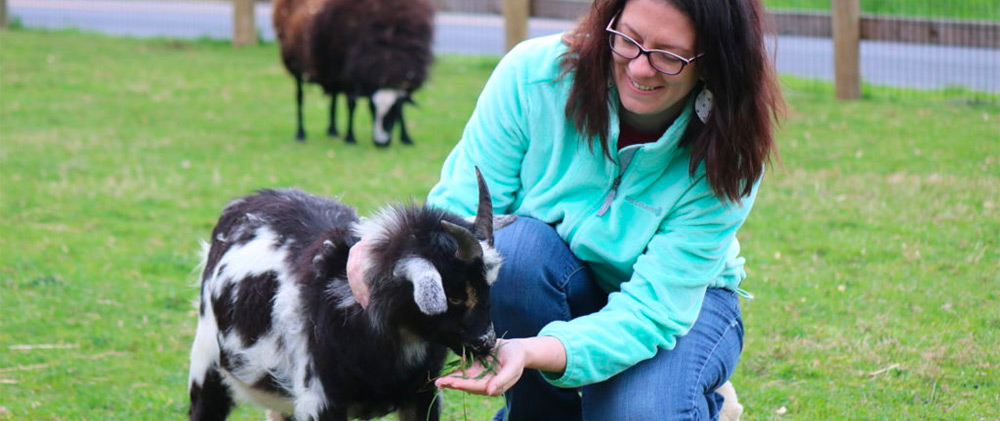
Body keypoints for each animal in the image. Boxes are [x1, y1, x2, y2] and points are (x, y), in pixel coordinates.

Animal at [188, 169, 512, 418]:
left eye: (488, 287)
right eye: (455, 295)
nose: (487, 343)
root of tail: (251, 198)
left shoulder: (423, 394)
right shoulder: (320, 400)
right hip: (206, 361)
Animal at [272, 0, 432, 146]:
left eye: (393, 111)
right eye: (371, 108)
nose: (380, 144)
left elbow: (403, 105)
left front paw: (406, 138)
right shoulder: (350, 72)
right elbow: (352, 104)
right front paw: (350, 137)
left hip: (332, 70)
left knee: (333, 97)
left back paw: (333, 130)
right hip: (296, 64)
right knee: (300, 98)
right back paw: (300, 133)